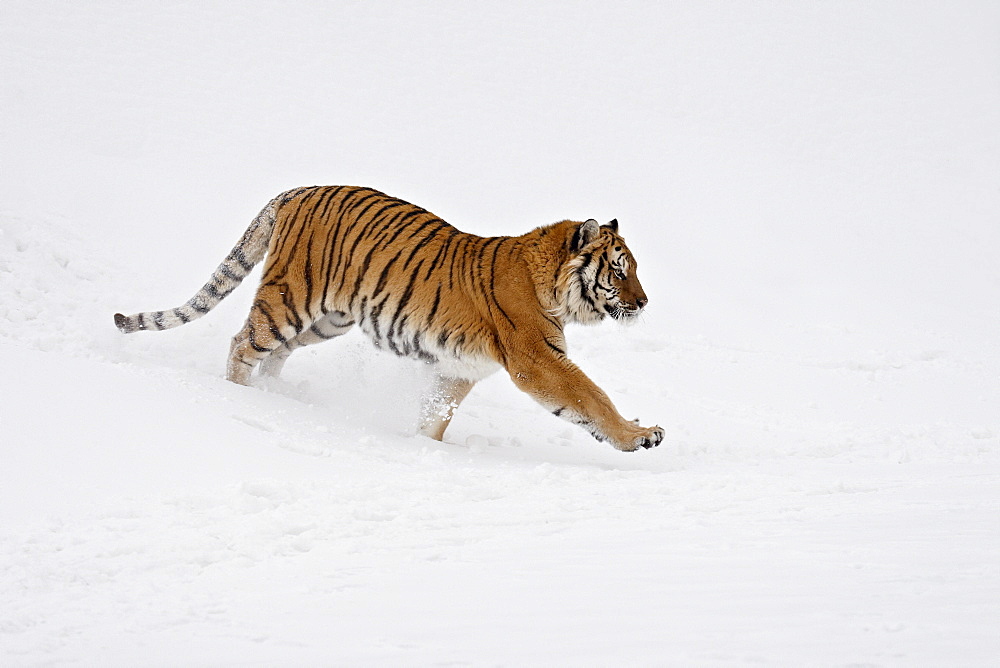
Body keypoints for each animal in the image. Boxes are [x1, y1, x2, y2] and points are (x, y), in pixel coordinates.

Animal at [115, 185, 664, 452]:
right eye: (620, 270)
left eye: (635, 268)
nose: (643, 304)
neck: (552, 287)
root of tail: (295, 190)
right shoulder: (538, 360)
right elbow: (591, 397)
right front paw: (640, 435)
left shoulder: (458, 368)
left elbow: (435, 415)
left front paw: (425, 449)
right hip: (289, 300)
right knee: (242, 344)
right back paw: (240, 397)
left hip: (327, 319)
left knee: (275, 354)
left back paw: (278, 396)